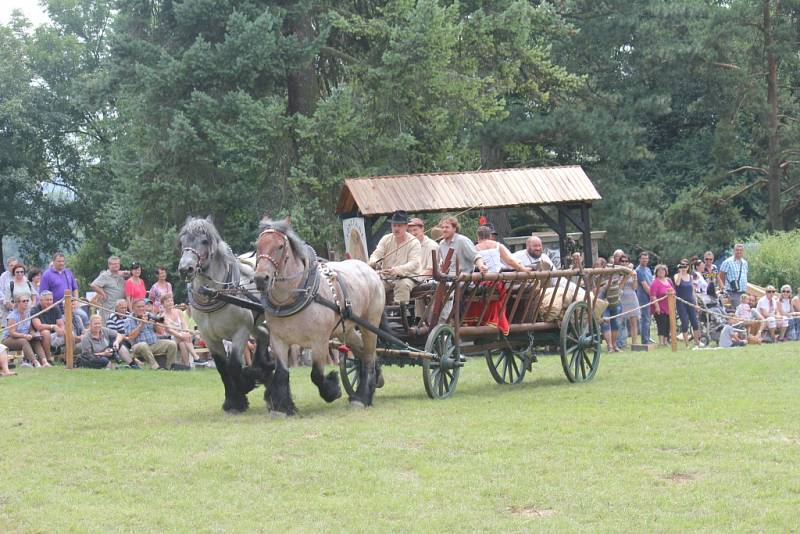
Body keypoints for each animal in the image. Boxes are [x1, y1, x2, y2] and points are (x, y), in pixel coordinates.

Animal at [179, 218, 272, 414]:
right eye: (182, 242)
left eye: (204, 241)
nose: (185, 269)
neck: (216, 293)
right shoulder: (209, 337)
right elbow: (222, 368)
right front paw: (232, 400)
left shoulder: (241, 331)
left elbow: (234, 365)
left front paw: (244, 387)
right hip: (256, 323)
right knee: (264, 335)